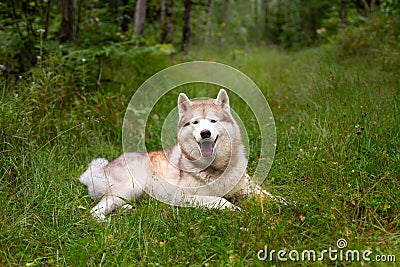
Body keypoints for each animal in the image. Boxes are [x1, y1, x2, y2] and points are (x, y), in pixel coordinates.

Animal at [79, 89, 282, 221]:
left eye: (213, 121)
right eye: (195, 122)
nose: (205, 133)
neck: (215, 168)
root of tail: (97, 170)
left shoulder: (249, 188)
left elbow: (270, 196)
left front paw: (285, 204)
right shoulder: (184, 197)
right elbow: (221, 200)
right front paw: (237, 209)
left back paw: (126, 209)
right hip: (129, 188)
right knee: (93, 212)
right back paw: (105, 221)